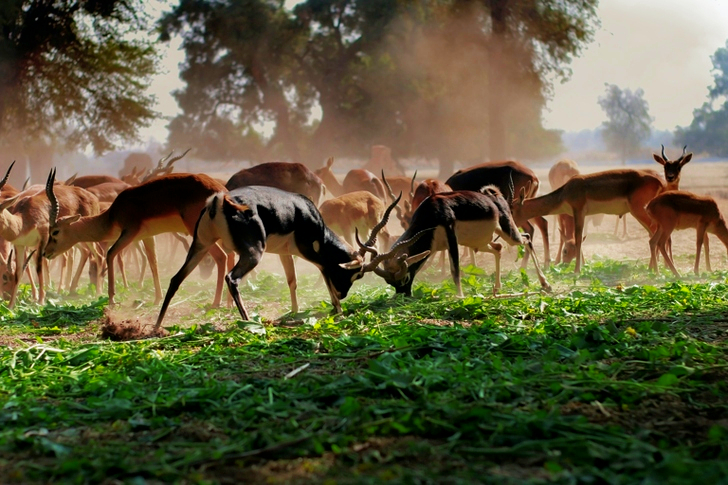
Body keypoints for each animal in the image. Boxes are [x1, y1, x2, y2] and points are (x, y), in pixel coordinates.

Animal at [43, 169, 229, 308]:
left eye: (55, 232)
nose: (45, 253)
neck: (112, 215)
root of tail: (219, 190)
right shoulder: (147, 237)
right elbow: (153, 262)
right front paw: (157, 298)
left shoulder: (129, 233)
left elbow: (110, 254)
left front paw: (111, 299)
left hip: (199, 232)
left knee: (222, 256)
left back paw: (216, 303)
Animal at [155, 185, 403, 328]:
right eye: (357, 274)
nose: (343, 295)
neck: (310, 215)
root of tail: (220, 201)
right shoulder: (312, 253)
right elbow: (324, 274)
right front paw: (338, 310)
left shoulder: (286, 254)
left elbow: (292, 281)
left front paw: (294, 311)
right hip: (252, 254)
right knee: (231, 279)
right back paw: (249, 323)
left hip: (200, 246)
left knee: (176, 279)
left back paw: (157, 327)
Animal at [364, 186, 551, 297]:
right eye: (389, 283)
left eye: (404, 278)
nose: (403, 296)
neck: (431, 213)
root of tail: (494, 197)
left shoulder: (451, 238)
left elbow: (455, 271)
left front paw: (459, 297)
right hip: (480, 242)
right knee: (498, 248)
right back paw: (497, 289)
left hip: (509, 234)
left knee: (526, 239)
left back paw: (546, 284)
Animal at [511, 169, 666, 274]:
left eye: (511, 208)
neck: (565, 192)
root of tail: (658, 180)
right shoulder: (580, 215)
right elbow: (579, 238)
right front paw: (582, 266)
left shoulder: (578, 211)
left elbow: (579, 238)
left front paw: (577, 270)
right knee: (653, 235)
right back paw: (652, 268)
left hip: (639, 211)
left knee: (655, 235)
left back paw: (656, 270)